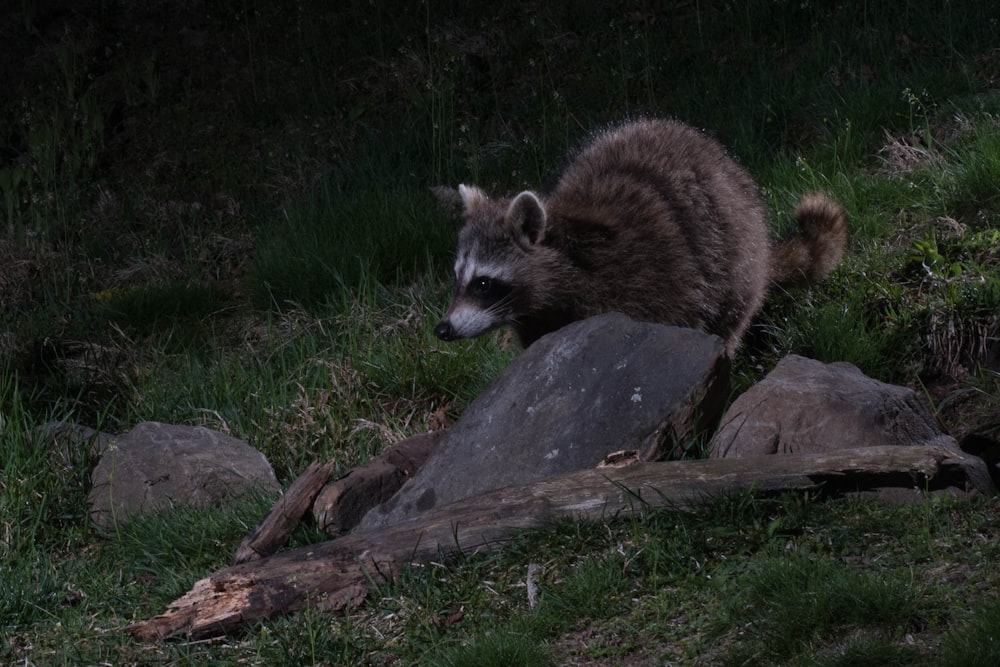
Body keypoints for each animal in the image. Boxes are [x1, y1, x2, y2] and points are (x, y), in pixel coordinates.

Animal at [434, 118, 848, 354]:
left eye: (483, 283)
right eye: (457, 279)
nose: (442, 329)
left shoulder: (644, 289)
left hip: (736, 257)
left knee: (728, 319)